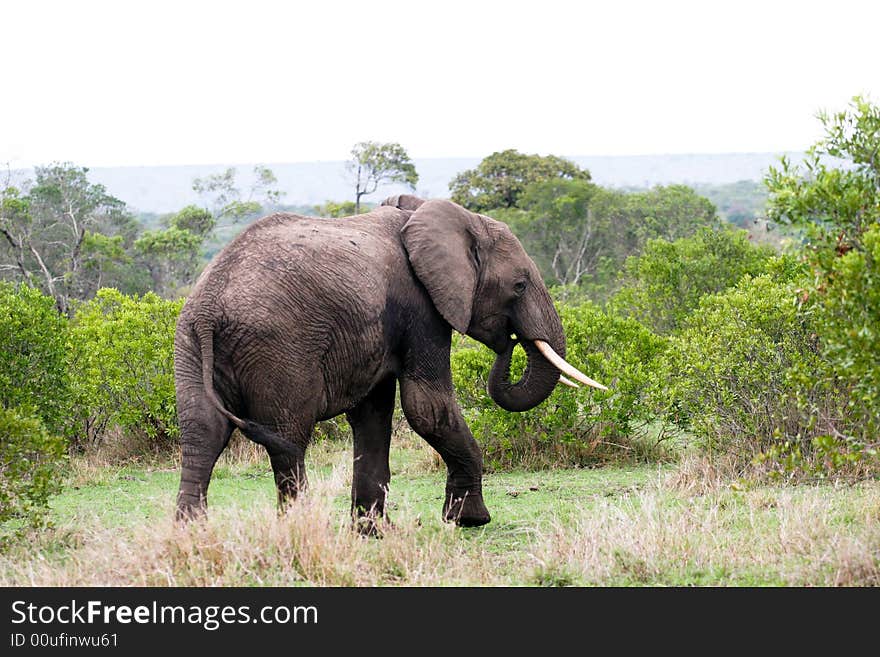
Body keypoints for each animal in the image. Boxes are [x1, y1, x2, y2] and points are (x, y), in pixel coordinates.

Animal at [175, 192, 608, 532]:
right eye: (519, 285)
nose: (509, 341)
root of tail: (209, 307)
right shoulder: (420, 309)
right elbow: (427, 409)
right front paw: (470, 520)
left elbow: (373, 417)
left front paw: (374, 532)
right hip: (280, 349)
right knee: (287, 438)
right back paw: (296, 528)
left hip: (190, 345)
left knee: (202, 433)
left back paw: (191, 534)